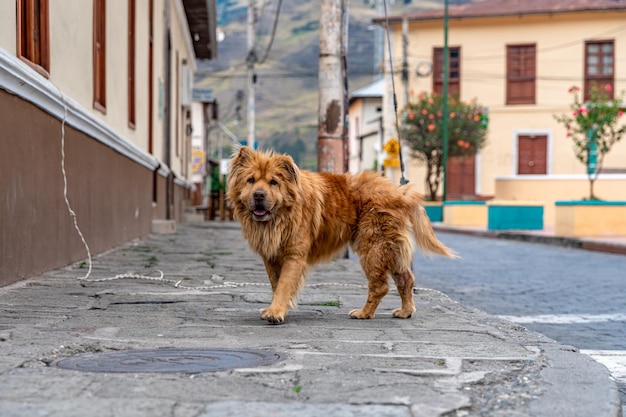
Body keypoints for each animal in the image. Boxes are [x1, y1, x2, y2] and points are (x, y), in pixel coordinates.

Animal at [227, 147, 450, 324]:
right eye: (251, 180)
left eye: (273, 182)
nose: (259, 195)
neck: (280, 217)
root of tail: (399, 192)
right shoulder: (271, 256)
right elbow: (276, 284)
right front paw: (276, 308)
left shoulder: (294, 256)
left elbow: (284, 285)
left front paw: (276, 312)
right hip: (390, 250)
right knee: (406, 279)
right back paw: (405, 311)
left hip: (372, 248)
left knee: (381, 286)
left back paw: (364, 313)